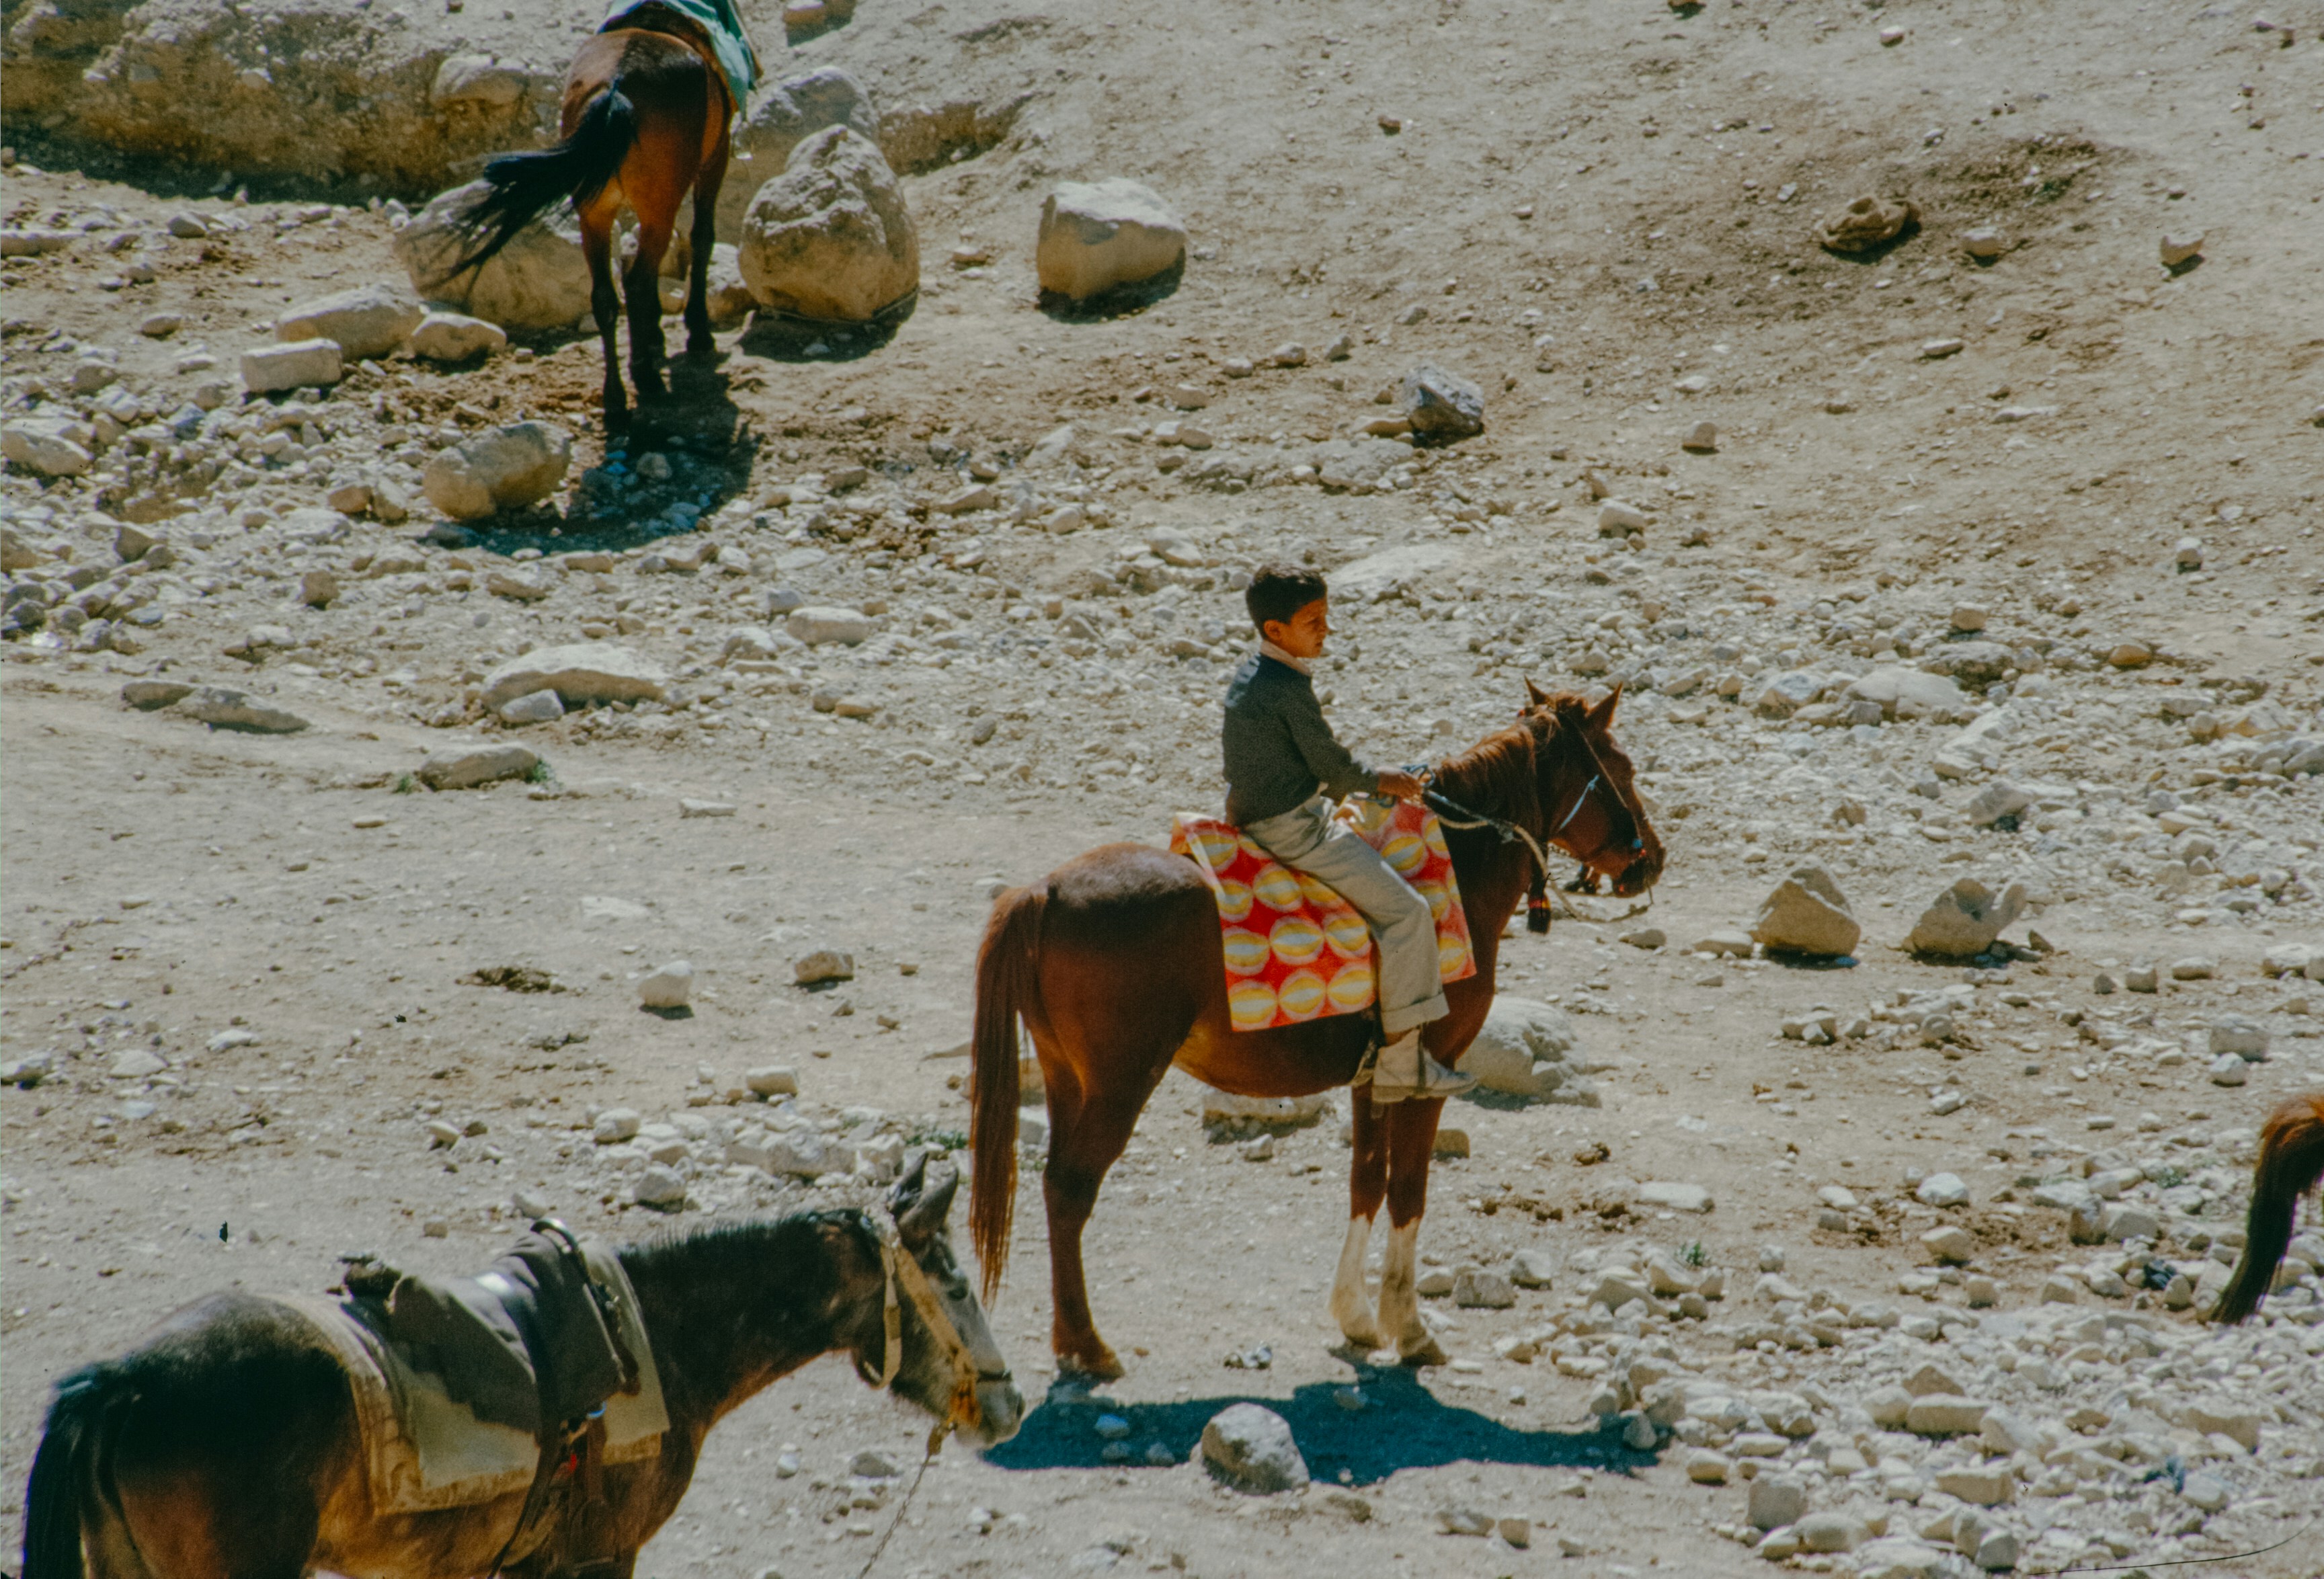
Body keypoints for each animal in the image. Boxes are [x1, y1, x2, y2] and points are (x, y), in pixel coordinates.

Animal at [449, 3, 741, 431]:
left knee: (605, 295)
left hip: (595, 211)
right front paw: (697, 333)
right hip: (657, 201)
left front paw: (658, 338)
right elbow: (702, 238)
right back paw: (645, 377)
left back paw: (616, 400)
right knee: (637, 281)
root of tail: (615, 90)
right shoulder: (715, 157)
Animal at [967, 684, 1663, 1379]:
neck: (1457, 870)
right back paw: (1090, 1345)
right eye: (1622, 767)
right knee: (1071, 1189)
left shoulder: (1372, 1079)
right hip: (1118, 1084)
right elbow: (1407, 1192)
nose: (1651, 858)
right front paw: (1409, 1329)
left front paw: (1356, 1317)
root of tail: (1043, 891)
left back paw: (1070, 1339)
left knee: (1053, 1186)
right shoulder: (1427, 1075)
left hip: (1065, 1076)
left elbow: (1365, 1181)